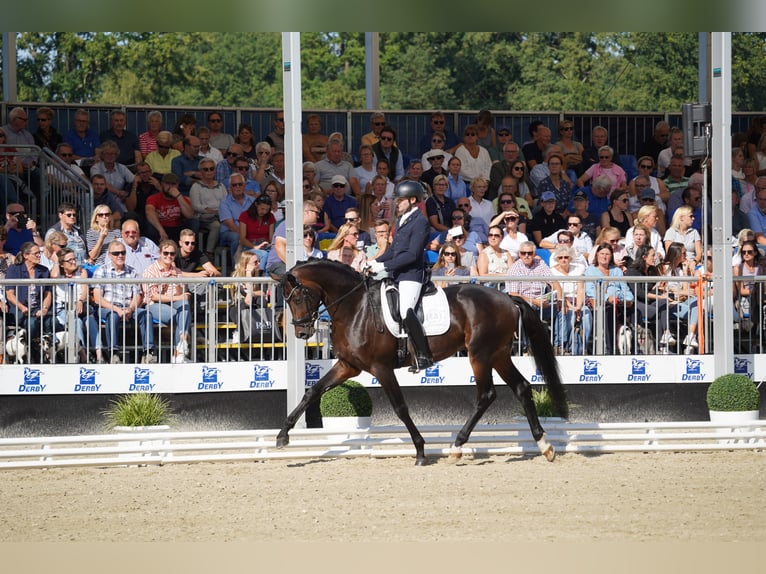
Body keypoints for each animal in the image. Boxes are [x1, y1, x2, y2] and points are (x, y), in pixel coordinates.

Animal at [276, 260, 568, 468]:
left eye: (298, 298)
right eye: (287, 300)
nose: (301, 332)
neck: (355, 307)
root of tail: (507, 298)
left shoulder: (381, 368)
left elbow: (400, 408)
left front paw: (419, 450)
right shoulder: (348, 365)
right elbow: (312, 392)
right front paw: (282, 436)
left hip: (480, 354)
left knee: (486, 395)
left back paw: (457, 447)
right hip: (498, 355)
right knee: (521, 388)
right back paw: (544, 445)